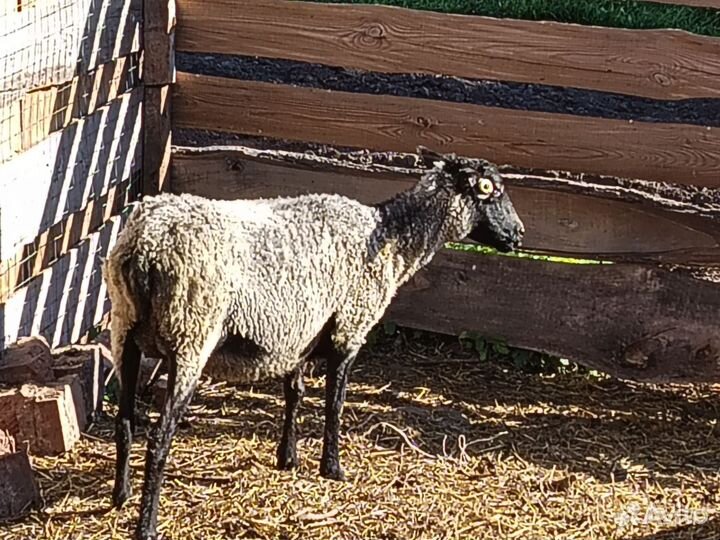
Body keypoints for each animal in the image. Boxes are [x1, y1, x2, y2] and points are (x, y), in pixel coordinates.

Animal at [103, 146, 524, 540]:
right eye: (490, 189)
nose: (519, 234)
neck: (391, 240)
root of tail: (146, 247)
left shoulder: (300, 335)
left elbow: (295, 394)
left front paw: (287, 458)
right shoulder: (349, 327)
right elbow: (334, 404)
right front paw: (333, 467)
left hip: (124, 330)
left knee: (124, 421)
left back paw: (121, 496)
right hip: (191, 333)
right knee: (159, 437)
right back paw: (146, 524)